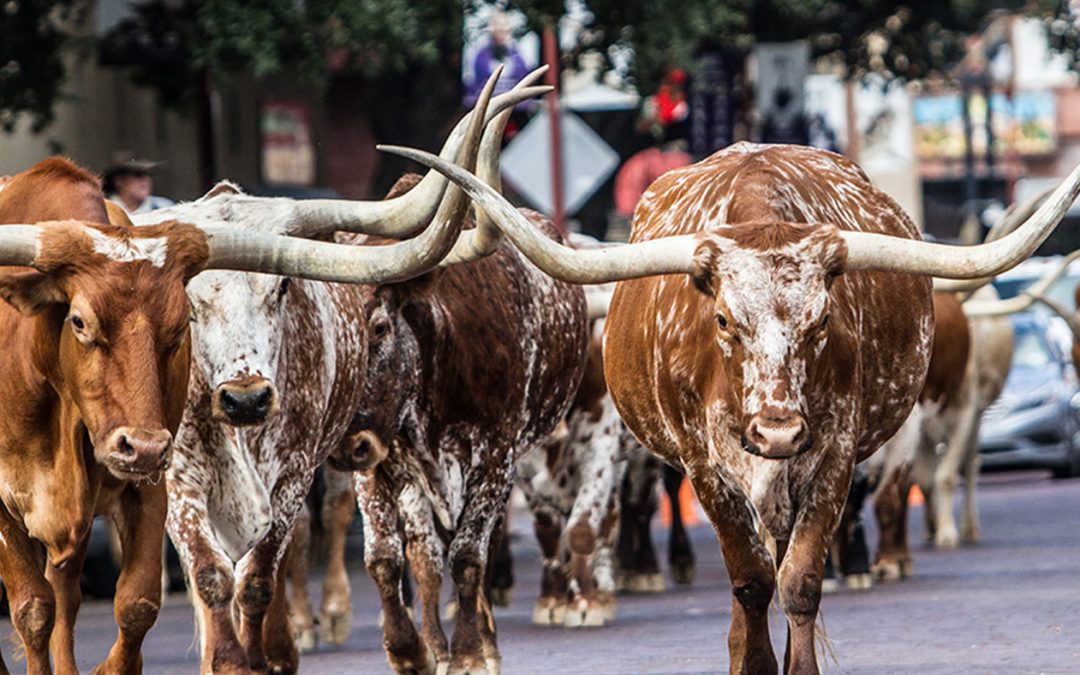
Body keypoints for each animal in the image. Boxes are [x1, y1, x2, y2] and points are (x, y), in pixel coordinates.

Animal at [397, 141, 1080, 673]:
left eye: (822, 320)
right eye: (723, 320)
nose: (777, 430)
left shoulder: (835, 455)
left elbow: (799, 580)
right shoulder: (704, 467)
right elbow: (749, 578)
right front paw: (749, 661)